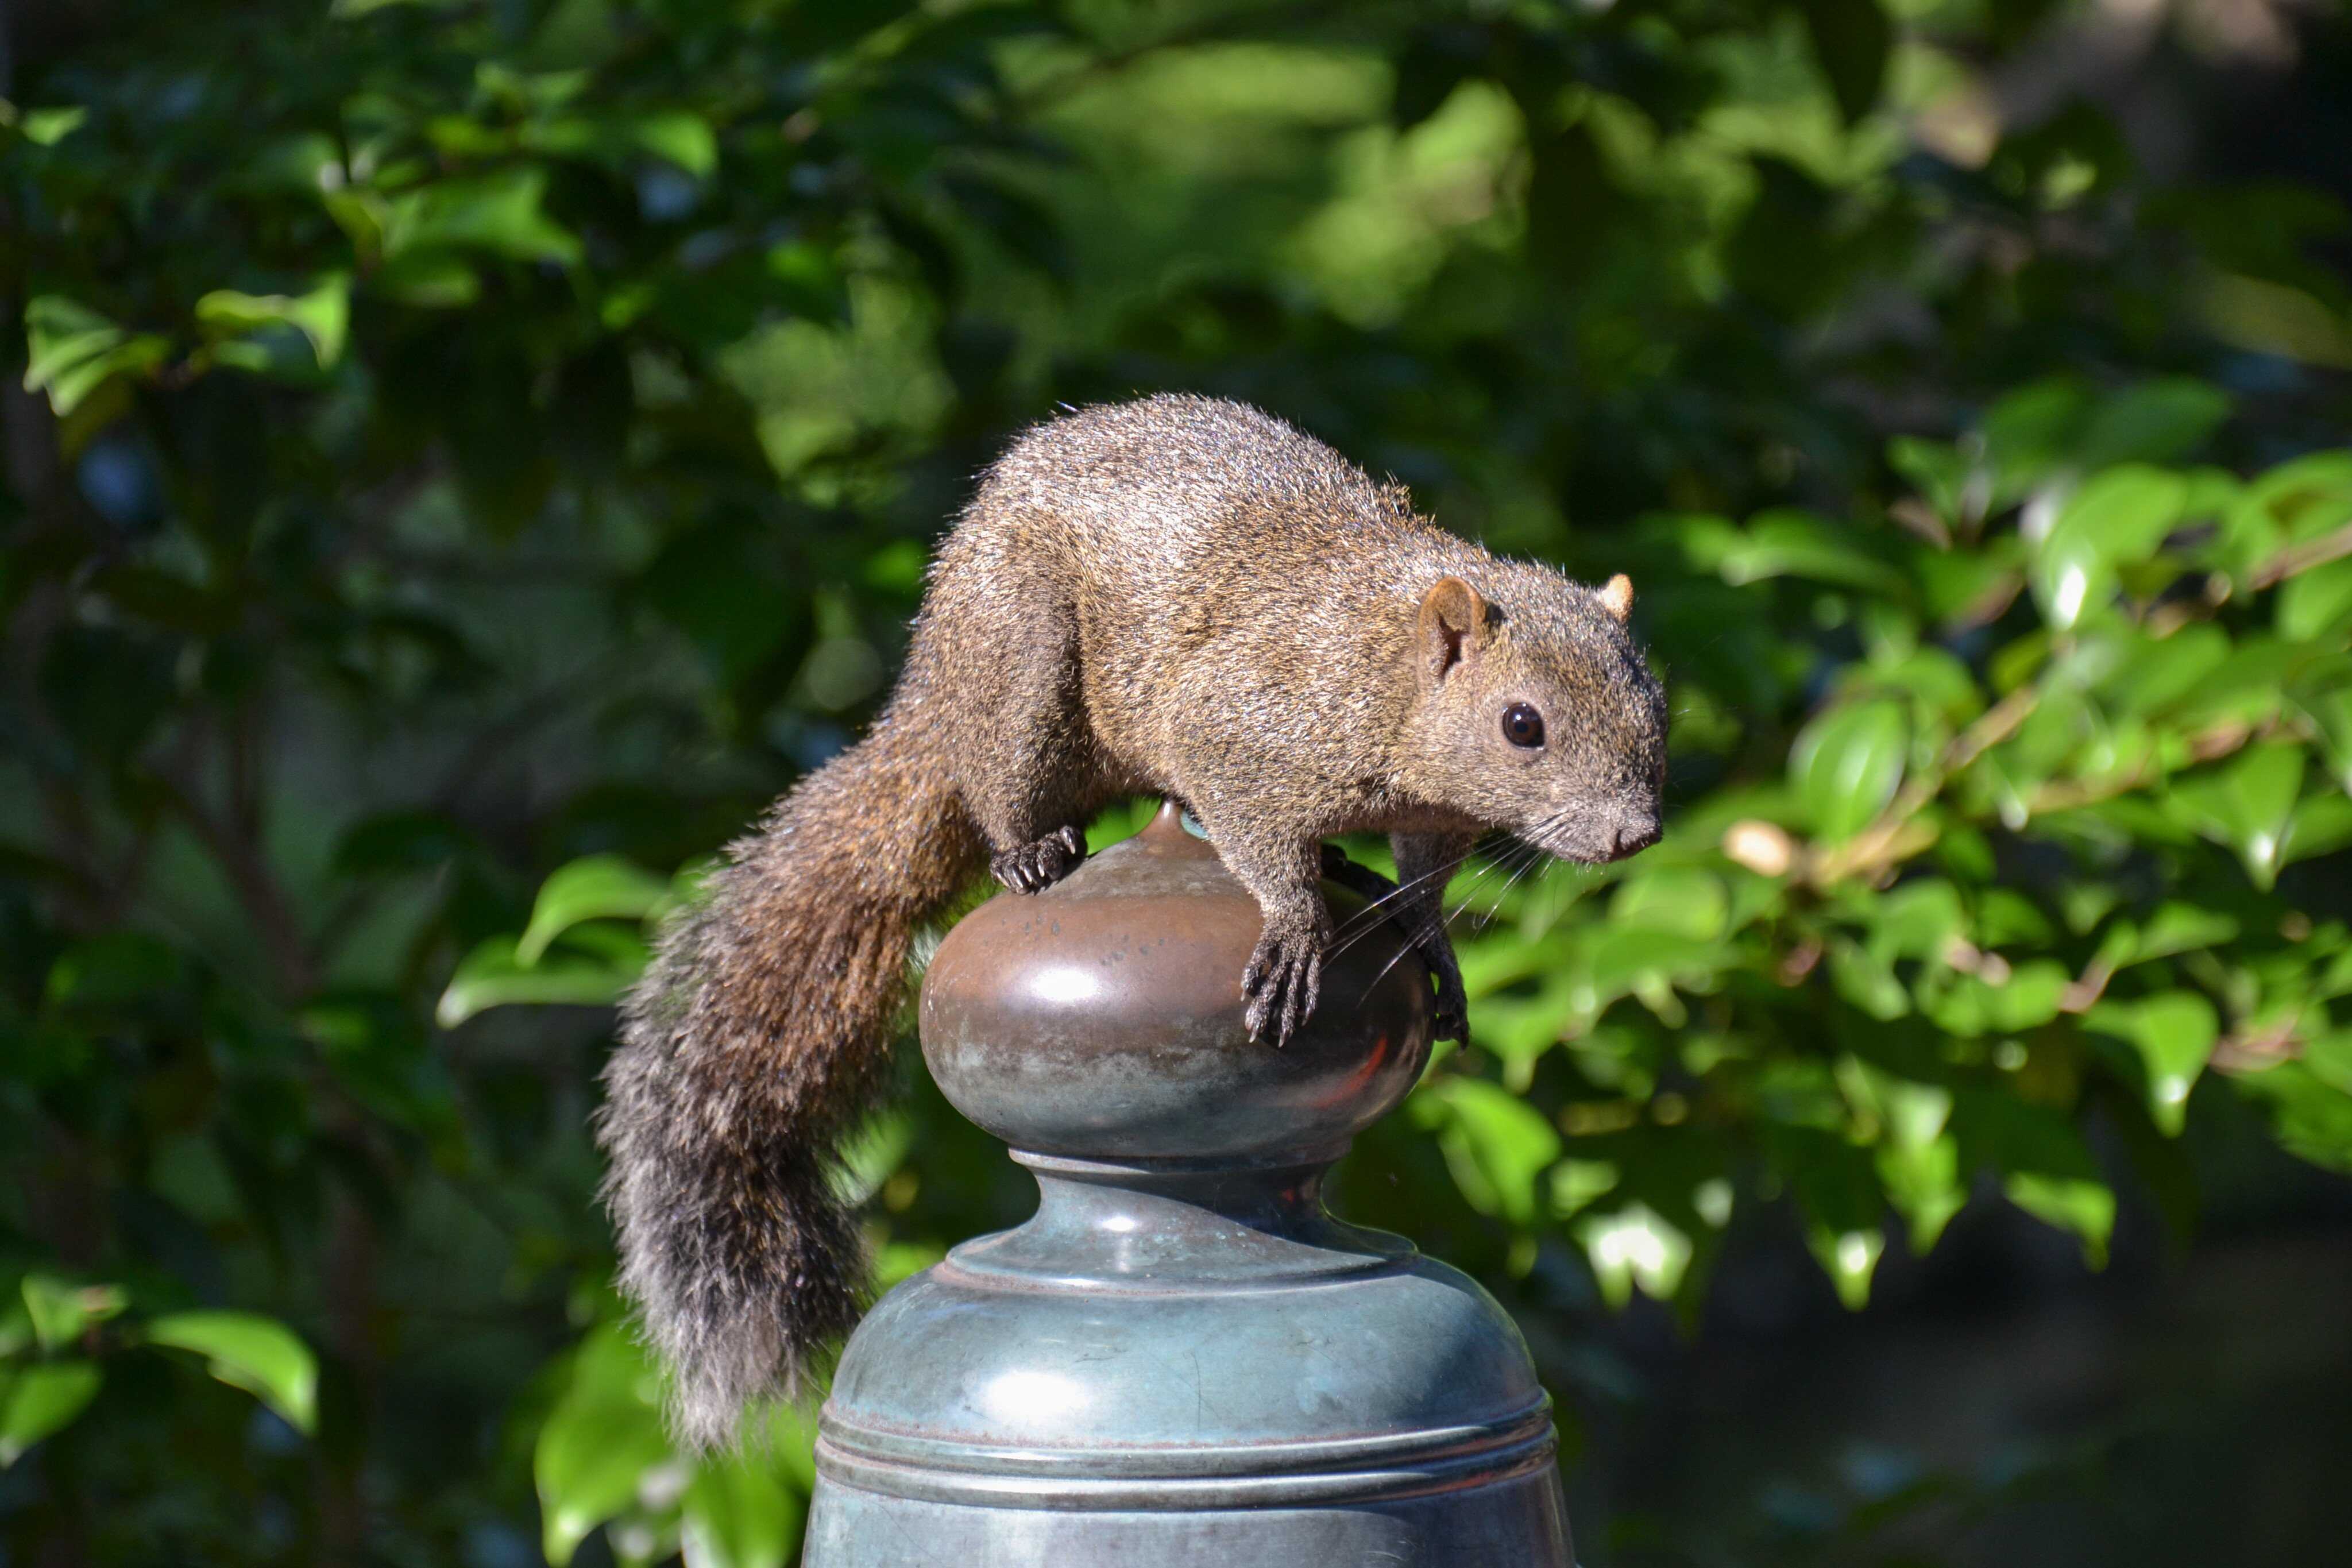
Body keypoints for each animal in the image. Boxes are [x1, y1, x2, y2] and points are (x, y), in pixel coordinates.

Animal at [599, 394, 1668, 1448]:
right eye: (1522, 724)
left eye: (1657, 705)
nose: (1637, 834)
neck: (1384, 670)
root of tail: (935, 688)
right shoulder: (1238, 722)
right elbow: (1252, 827)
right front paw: (1295, 929)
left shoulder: (1432, 813)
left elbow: (1422, 886)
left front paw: (1431, 949)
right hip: (1021, 661)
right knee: (1000, 780)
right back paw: (1033, 848)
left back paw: (1340, 864)